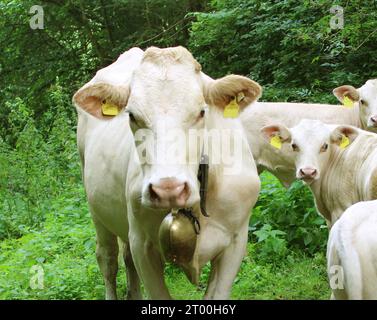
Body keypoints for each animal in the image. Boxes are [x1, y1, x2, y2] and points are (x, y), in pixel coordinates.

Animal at [72, 46, 262, 298]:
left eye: (201, 112)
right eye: (132, 116)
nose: (168, 189)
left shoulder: (236, 240)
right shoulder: (142, 244)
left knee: (126, 259)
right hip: (97, 212)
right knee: (108, 260)